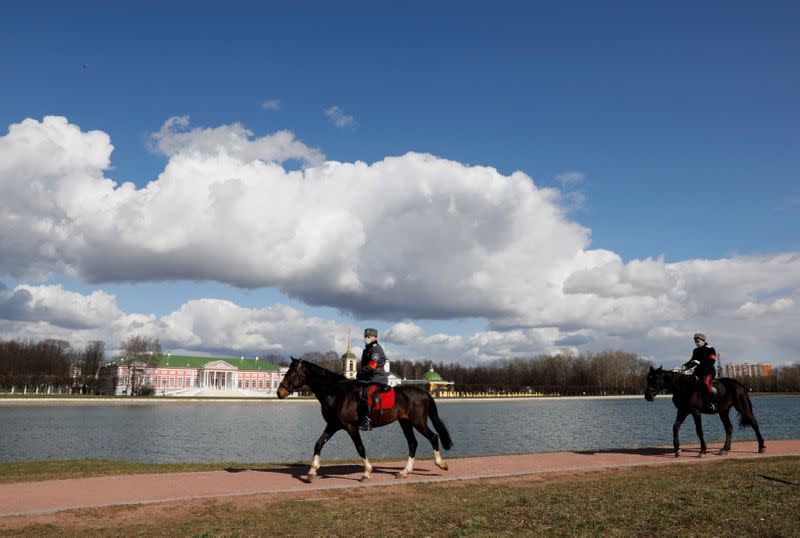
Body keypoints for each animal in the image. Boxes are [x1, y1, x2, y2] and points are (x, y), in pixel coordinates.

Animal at [276, 358, 450, 480]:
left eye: (290, 373)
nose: (279, 392)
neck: (337, 393)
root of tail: (424, 392)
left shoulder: (351, 427)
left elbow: (360, 447)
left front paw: (367, 472)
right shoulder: (333, 425)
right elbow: (318, 444)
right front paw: (312, 471)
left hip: (418, 422)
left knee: (433, 437)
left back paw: (440, 464)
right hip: (405, 423)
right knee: (413, 443)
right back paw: (405, 471)